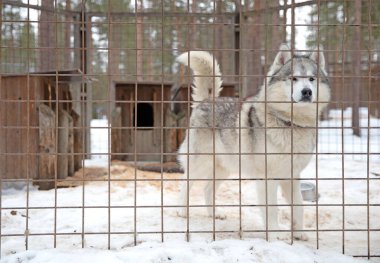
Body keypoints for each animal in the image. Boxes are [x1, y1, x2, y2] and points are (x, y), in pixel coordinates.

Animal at [177, 44, 332, 242]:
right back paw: (182, 211)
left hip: (224, 169)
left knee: (207, 189)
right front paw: (275, 234)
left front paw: (299, 233)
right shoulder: (268, 179)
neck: (290, 124)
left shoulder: (292, 176)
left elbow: (299, 206)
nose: (307, 92)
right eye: (294, 78)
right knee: (185, 184)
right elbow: (272, 209)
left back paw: (214, 214)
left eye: (312, 79)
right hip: (199, 164)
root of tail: (206, 100)